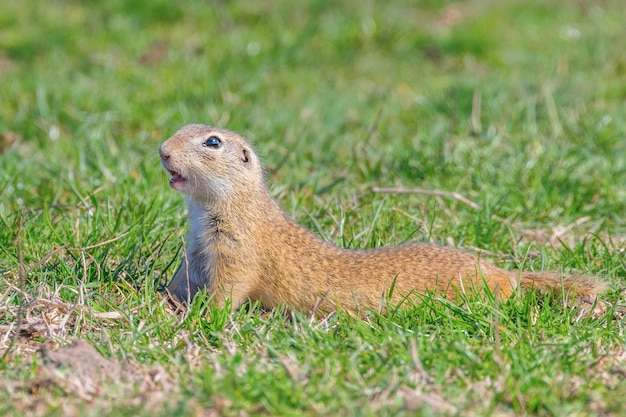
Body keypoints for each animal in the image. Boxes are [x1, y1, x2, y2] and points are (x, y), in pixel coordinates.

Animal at [160, 125, 604, 314]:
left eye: (212, 142)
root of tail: (501, 272)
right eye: (180, 128)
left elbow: (231, 287)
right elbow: (184, 277)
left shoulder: (237, 247)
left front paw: (204, 317)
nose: (162, 150)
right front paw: (164, 297)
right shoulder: (197, 248)